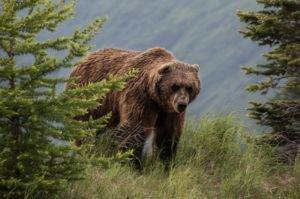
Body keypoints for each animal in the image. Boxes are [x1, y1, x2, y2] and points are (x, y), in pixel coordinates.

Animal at [67, 47, 200, 167]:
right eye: (174, 86)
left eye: (189, 87)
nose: (182, 104)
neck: (155, 98)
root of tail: (83, 59)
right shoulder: (139, 97)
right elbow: (134, 128)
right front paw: (131, 162)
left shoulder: (168, 110)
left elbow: (168, 133)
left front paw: (166, 161)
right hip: (89, 98)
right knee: (85, 128)